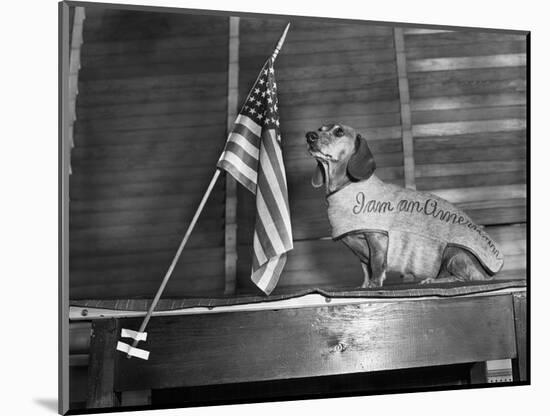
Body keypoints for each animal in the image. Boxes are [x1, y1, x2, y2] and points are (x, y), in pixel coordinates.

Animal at [306, 122, 504, 288]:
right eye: (320, 129)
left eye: (339, 131)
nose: (309, 135)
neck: (347, 187)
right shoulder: (359, 251)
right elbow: (365, 269)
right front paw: (364, 286)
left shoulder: (377, 238)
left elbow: (376, 265)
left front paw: (374, 285)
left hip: (452, 252)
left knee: (466, 278)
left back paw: (433, 280)